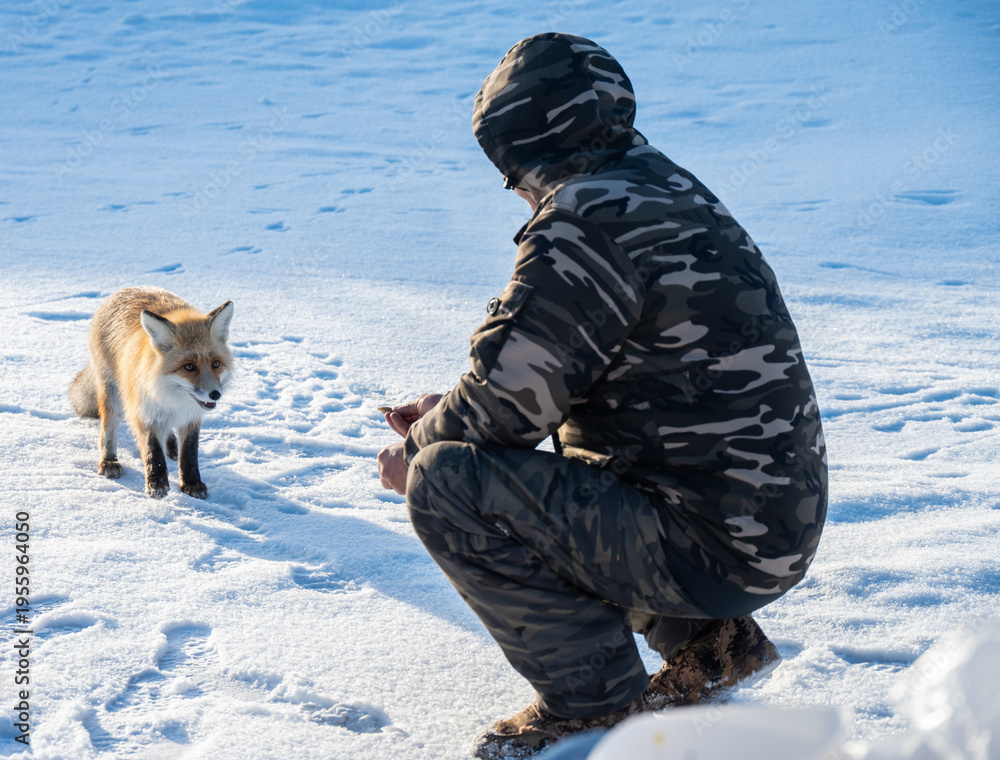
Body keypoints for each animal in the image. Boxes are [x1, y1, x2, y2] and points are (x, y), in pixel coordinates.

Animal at [69, 287, 235, 500]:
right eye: (189, 366)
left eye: (216, 364)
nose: (215, 394)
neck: (172, 398)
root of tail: (123, 290)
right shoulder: (144, 411)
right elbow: (152, 451)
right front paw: (157, 485)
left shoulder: (191, 416)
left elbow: (189, 453)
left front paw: (192, 483)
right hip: (113, 395)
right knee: (108, 427)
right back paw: (108, 461)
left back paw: (172, 449)